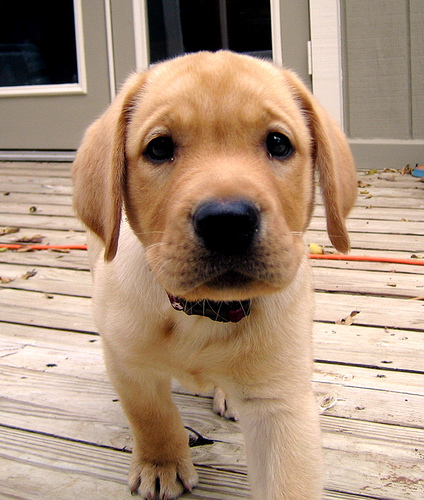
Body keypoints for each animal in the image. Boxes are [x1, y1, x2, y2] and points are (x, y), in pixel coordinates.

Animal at [72, 51, 354, 500]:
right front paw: (161, 463)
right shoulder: (126, 362)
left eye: (278, 143)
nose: (227, 222)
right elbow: (150, 415)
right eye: (159, 147)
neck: (205, 311)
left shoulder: (282, 404)